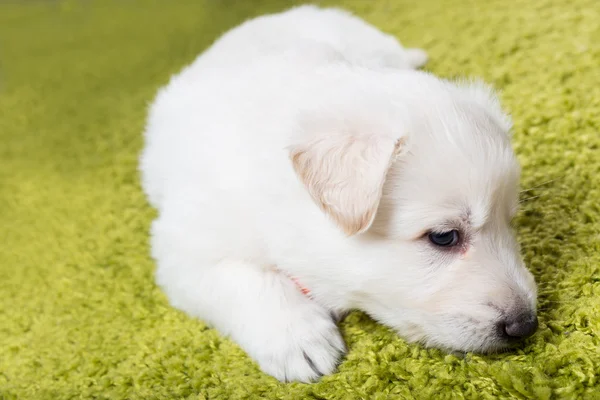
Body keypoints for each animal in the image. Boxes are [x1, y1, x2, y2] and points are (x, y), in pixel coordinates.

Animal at [141, 5, 540, 382]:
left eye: (510, 222)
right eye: (443, 236)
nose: (527, 325)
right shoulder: (181, 249)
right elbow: (246, 279)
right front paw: (299, 340)